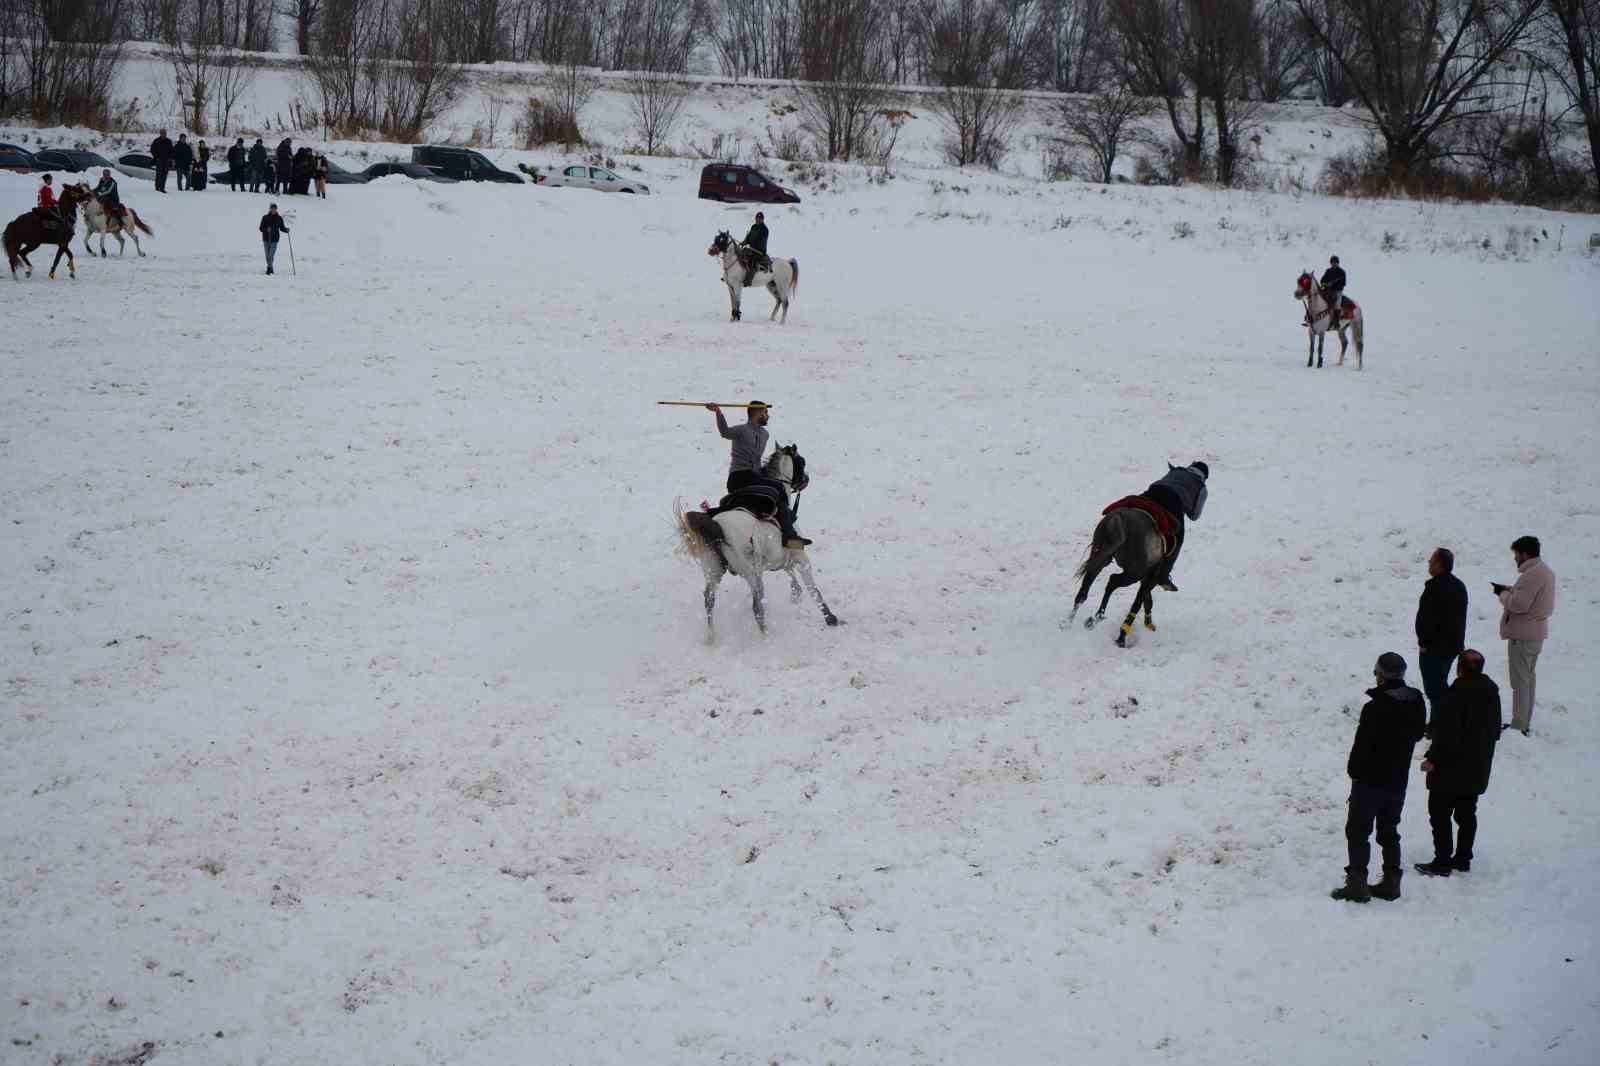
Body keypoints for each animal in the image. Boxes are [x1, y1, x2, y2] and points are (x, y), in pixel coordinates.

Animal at [675, 444, 844, 633]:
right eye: (802, 461)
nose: (806, 479)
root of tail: (718, 526)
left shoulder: (779, 558)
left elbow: (790, 572)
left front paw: (796, 594)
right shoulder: (801, 558)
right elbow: (813, 589)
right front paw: (829, 617)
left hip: (714, 571)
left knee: (709, 600)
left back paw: (711, 636)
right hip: (751, 574)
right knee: (756, 606)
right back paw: (765, 634)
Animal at [1068, 505, 1171, 646]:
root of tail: (1117, 520)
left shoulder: (1146, 577)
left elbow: (1146, 599)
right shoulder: (1149, 576)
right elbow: (1141, 601)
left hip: (1101, 557)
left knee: (1084, 592)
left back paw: (1069, 623)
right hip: (1133, 573)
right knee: (1113, 581)